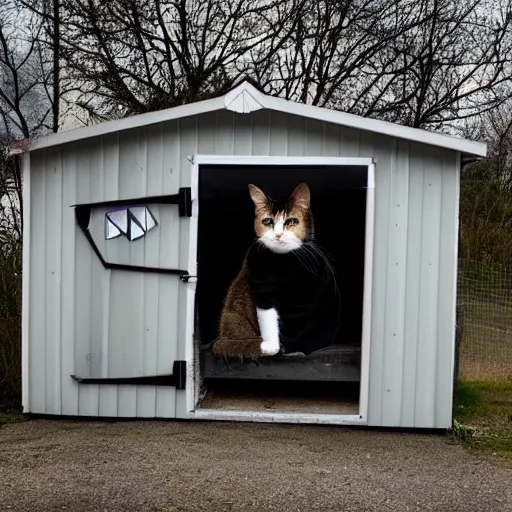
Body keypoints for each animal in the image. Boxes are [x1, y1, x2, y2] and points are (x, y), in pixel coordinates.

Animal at [212, 182, 340, 358]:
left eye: (291, 221)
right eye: (267, 221)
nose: (278, 235)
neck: (281, 263)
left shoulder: (303, 296)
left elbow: (295, 325)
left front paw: (288, 349)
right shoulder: (261, 287)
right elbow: (267, 318)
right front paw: (271, 347)